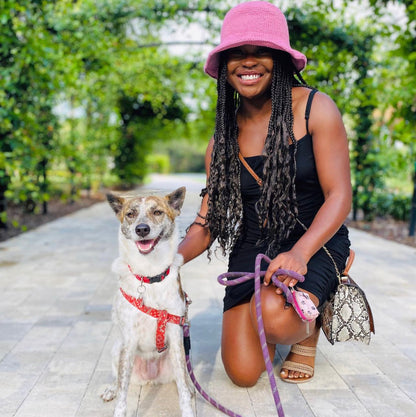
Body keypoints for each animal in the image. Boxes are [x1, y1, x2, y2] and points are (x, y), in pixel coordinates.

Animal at [101, 186, 193, 416]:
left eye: (157, 212)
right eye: (130, 214)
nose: (142, 229)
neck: (150, 275)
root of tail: (151, 379)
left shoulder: (176, 336)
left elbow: (183, 390)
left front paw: (188, 408)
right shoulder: (129, 340)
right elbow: (123, 392)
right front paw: (118, 408)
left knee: (184, 377)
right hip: (117, 348)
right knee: (118, 379)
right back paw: (111, 389)